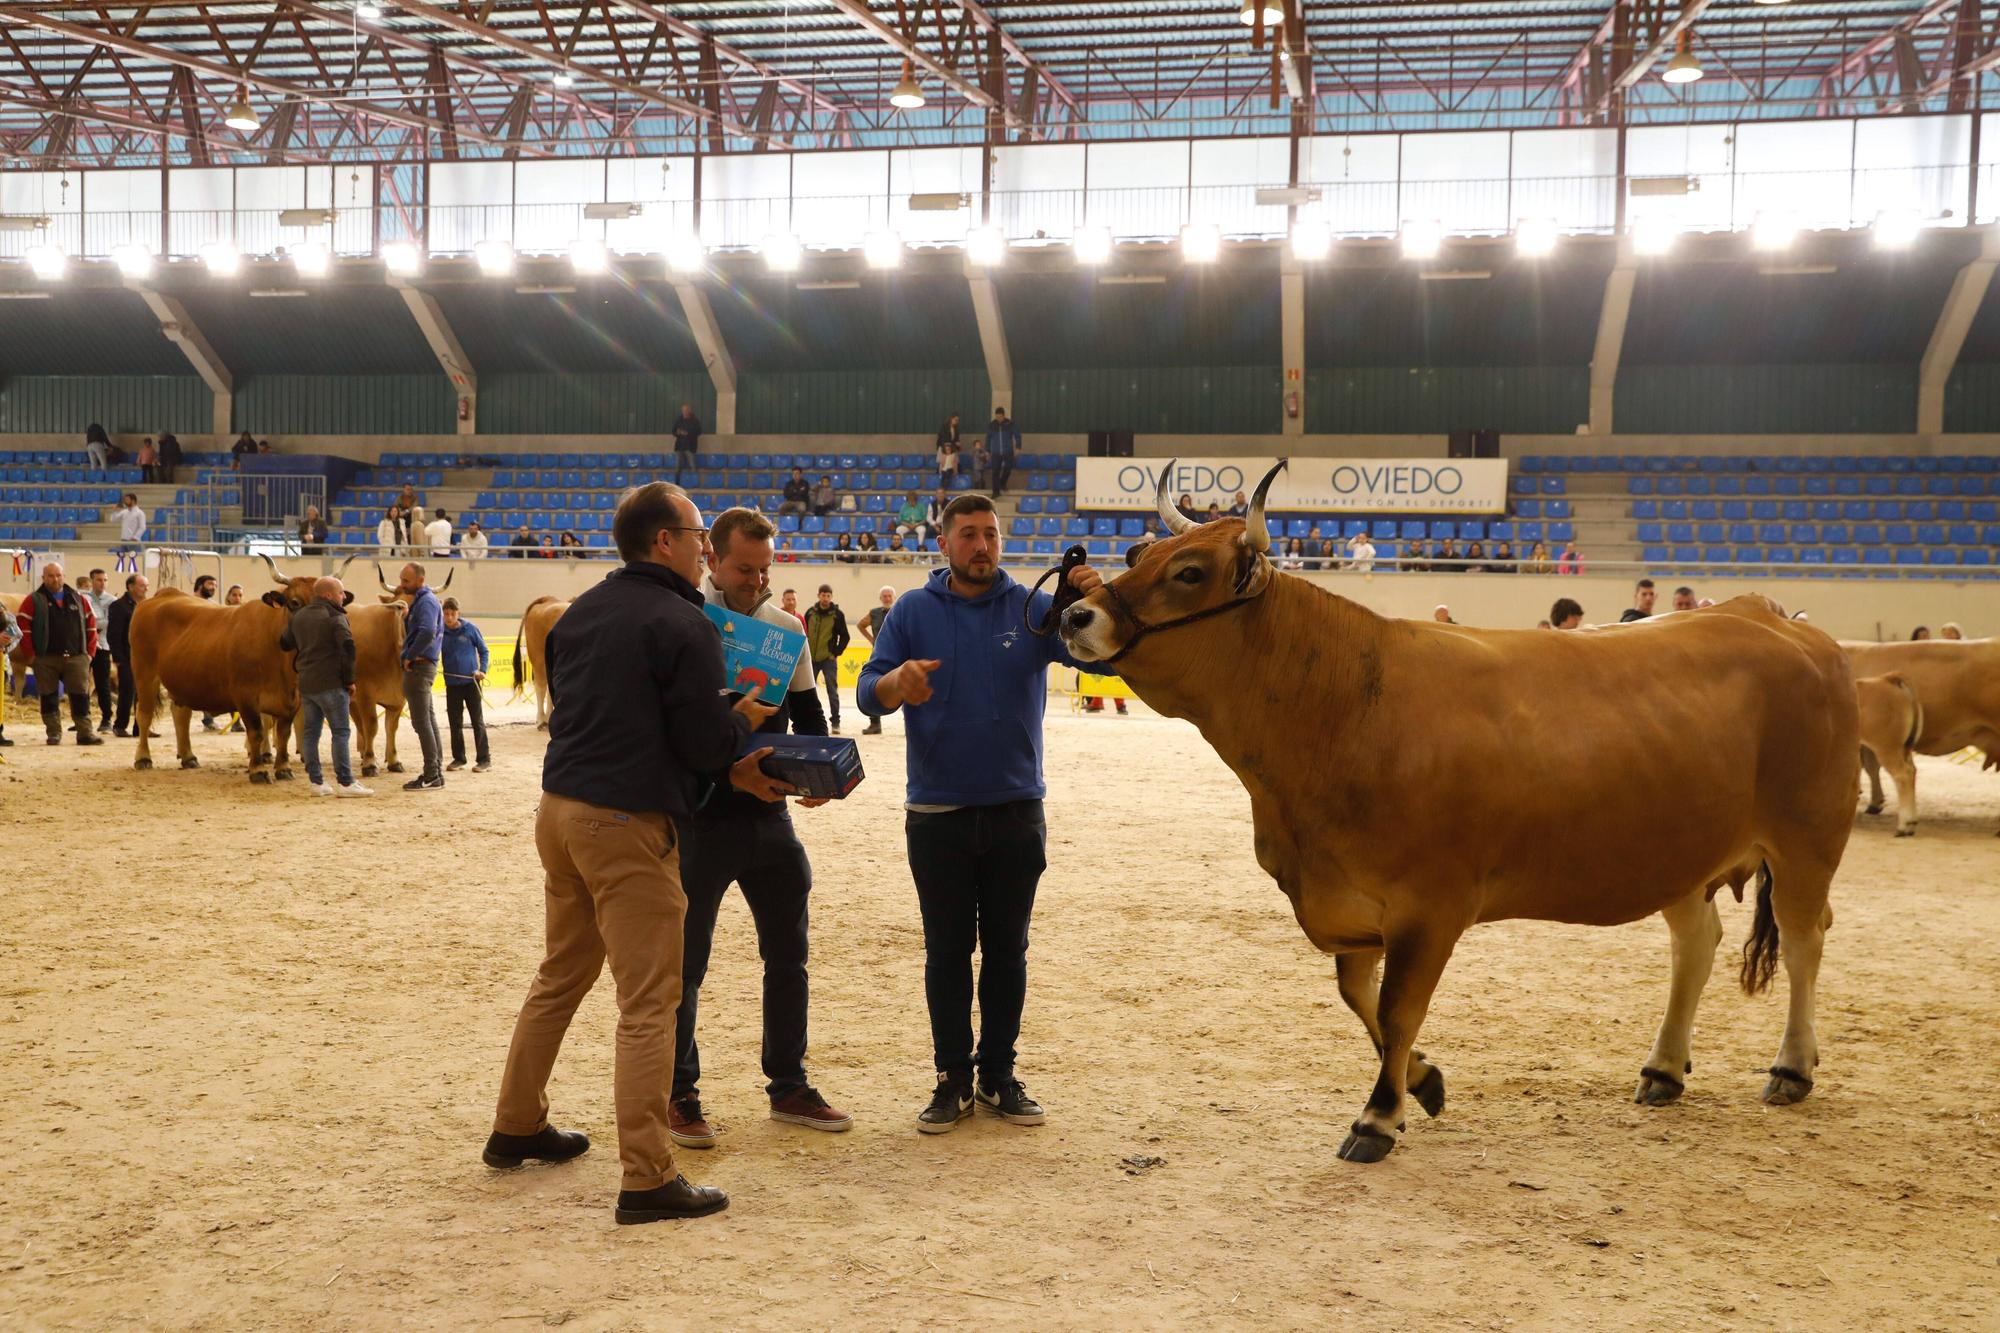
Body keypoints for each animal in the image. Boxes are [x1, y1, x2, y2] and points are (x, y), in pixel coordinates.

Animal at [132, 584, 300, 780]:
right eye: (294, 603)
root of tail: (166, 593)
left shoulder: (292, 700)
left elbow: (284, 734)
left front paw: (284, 767)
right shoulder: (246, 697)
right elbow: (257, 731)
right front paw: (258, 769)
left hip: (183, 679)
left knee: (180, 713)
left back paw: (188, 757)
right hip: (144, 673)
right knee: (144, 715)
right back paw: (143, 758)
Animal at [1064, 460, 1856, 1160]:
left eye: (1189, 572)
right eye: (1136, 551)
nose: (1075, 612)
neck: (1343, 708)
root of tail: (1775, 617)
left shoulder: (1430, 904)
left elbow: (1396, 1007)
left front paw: (1378, 1116)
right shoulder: (1347, 900)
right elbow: (1360, 998)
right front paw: (1424, 1082)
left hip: (1807, 838)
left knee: (1806, 939)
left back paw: (1791, 1067)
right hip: (1681, 850)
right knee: (1697, 941)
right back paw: (1662, 1069)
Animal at [1840, 676, 1920, 832]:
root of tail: (1886, 680)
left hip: (1886, 748)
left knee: (1903, 774)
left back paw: (1904, 826)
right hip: (1903, 749)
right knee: (1912, 771)